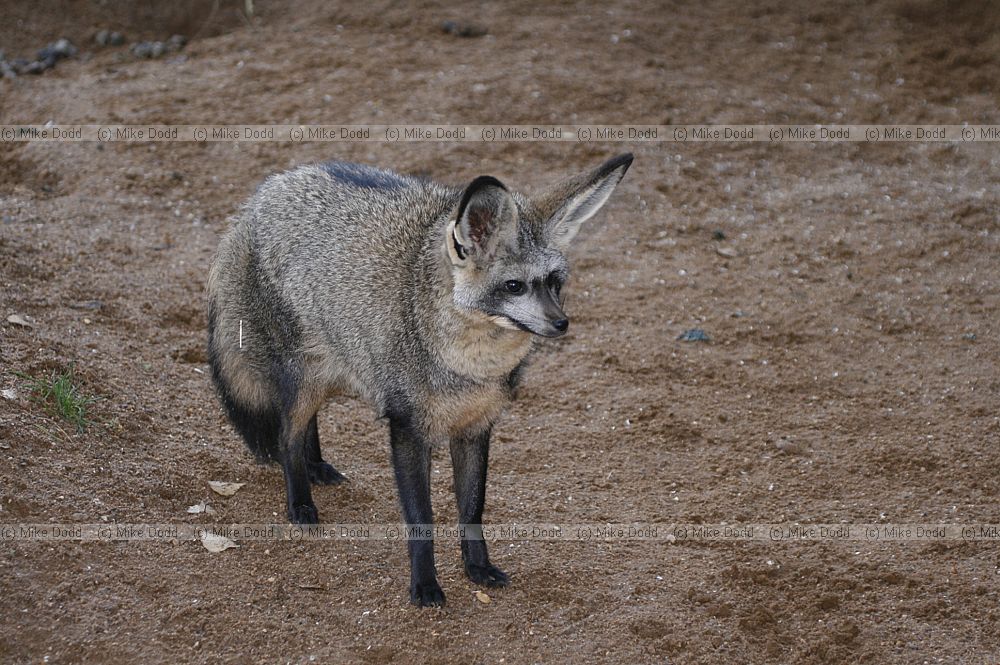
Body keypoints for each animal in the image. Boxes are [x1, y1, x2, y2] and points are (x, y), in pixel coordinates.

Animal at [207, 153, 633, 606]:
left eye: (554, 283)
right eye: (514, 286)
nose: (561, 323)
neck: (470, 366)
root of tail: (262, 194)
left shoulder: (475, 428)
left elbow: (472, 509)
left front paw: (477, 568)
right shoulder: (407, 429)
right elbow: (422, 519)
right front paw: (425, 584)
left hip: (329, 370)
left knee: (306, 425)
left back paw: (316, 466)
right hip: (304, 379)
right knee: (287, 434)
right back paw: (300, 502)